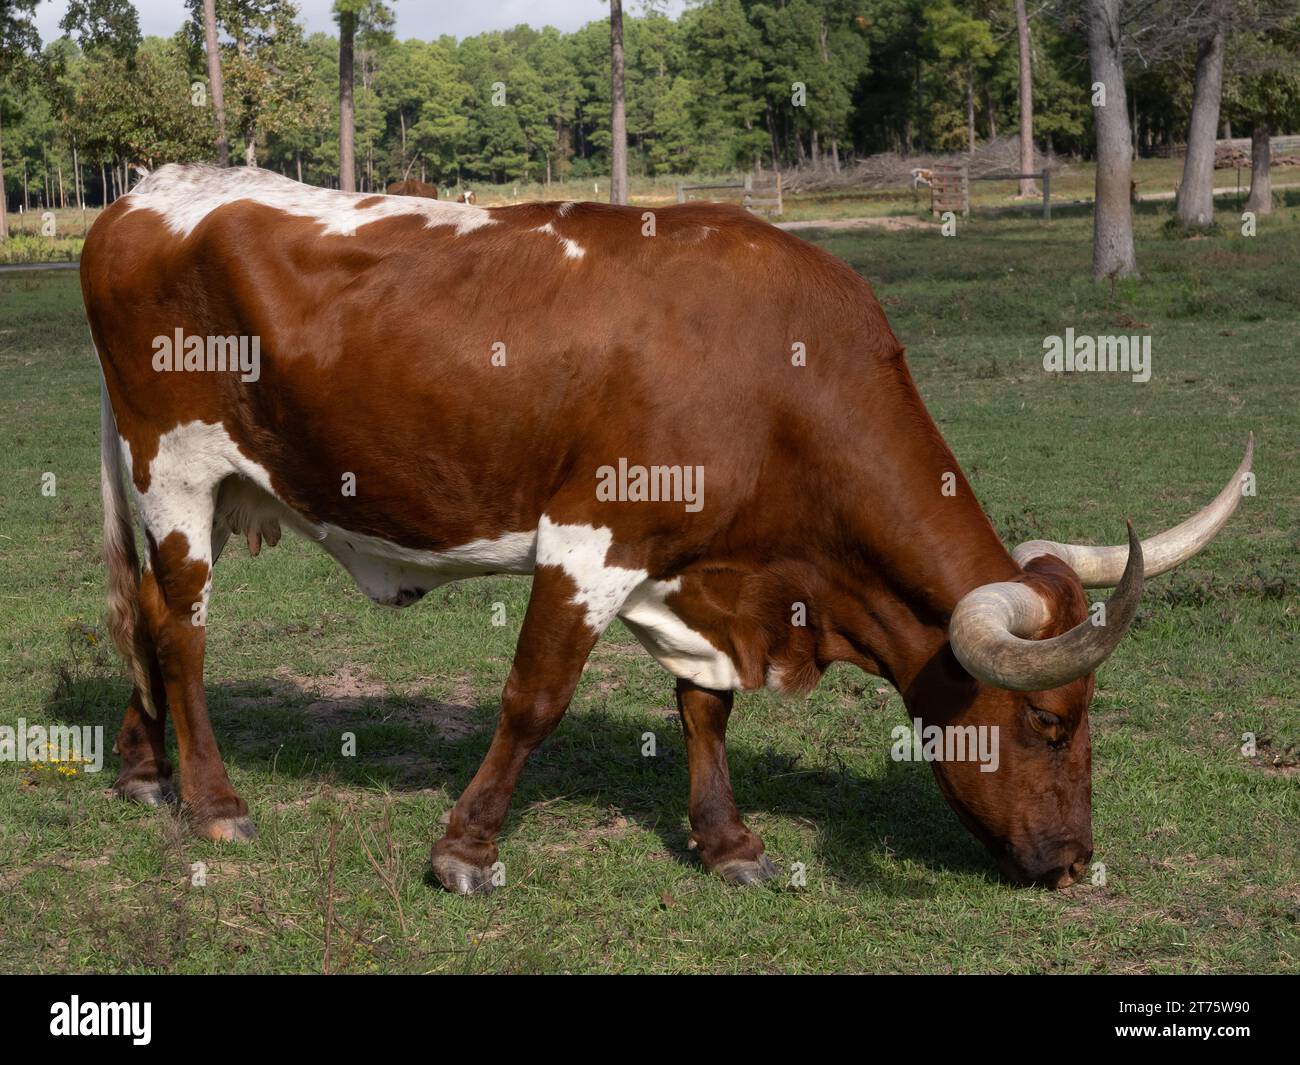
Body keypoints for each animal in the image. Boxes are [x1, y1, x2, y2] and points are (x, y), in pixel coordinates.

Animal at [82, 164, 1252, 895]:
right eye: (1050, 723)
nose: (1073, 861)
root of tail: (143, 193)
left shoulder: (700, 573)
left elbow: (704, 708)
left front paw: (727, 843)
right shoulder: (589, 540)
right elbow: (535, 698)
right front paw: (467, 848)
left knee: (141, 617)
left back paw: (146, 770)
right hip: (174, 473)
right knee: (180, 632)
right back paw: (214, 801)